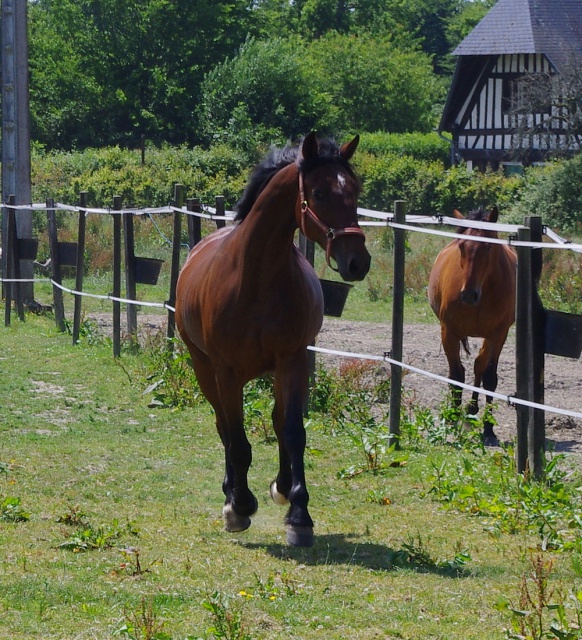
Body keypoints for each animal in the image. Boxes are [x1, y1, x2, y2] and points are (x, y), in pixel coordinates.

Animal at [176, 131, 372, 544]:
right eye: (319, 193)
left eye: (355, 191)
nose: (357, 262)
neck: (257, 280)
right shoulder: (226, 372)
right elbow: (237, 441)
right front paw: (239, 506)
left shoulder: (292, 360)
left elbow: (292, 431)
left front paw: (299, 514)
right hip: (204, 369)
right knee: (223, 428)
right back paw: (231, 494)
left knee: (278, 421)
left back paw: (281, 488)